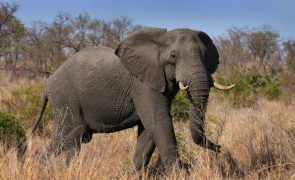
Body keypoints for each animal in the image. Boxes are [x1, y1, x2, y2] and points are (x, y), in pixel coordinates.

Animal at [18, 27, 236, 172]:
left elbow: (149, 130)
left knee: (61, 138)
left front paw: (135, 174)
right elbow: (159, 122)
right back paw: (66, 170)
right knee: (72, 137)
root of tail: (47, 85)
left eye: (206, 56)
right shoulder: (143, 83)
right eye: (173, 57)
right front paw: (179, 174)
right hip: (67, 97)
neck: (159, 40)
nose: (219, 147)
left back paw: (37, 168)